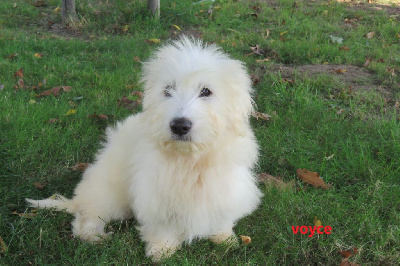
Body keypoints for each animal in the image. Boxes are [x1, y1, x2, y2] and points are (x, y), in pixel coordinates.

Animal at [26, 37, 260, 262]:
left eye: (205, 91)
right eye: (168, 90)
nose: (179, 126)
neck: (189, 159)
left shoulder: (226, 187)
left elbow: (222, 214)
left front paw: (224, 238)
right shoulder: (155, 194)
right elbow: (163, 226)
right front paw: (161, 250)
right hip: (110, 191)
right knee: (89, 213)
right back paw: (93, 234)